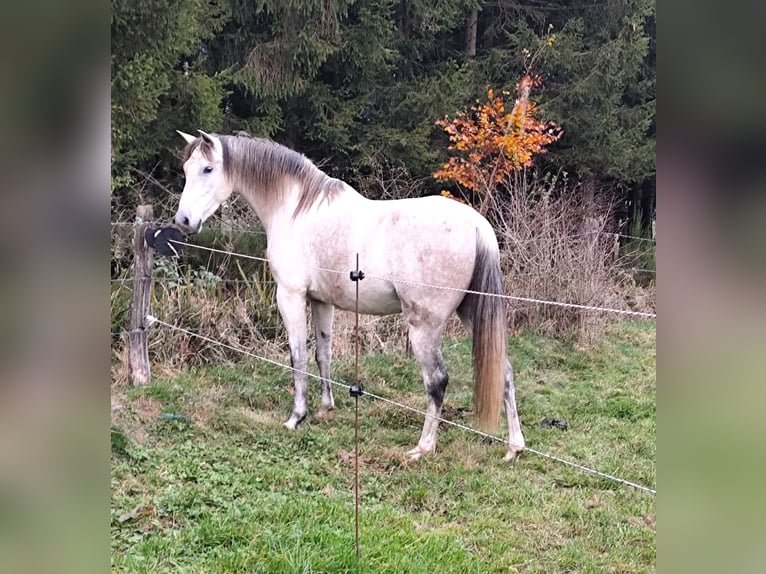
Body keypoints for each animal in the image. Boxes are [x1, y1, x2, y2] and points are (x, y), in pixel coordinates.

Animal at [172, 132, 528, 464]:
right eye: (186, 169)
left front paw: (296, 417)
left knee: (437, 380)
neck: (296, 209)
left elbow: (298, 356)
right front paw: (325, 407)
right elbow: (323, 354)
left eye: (207, 169)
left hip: (423, 326)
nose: (183, 222)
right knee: (505, 372)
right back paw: (514, 447)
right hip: (472, 315)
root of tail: (477, 226)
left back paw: (423, 447)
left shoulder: (290, 296)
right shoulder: (321, 301)